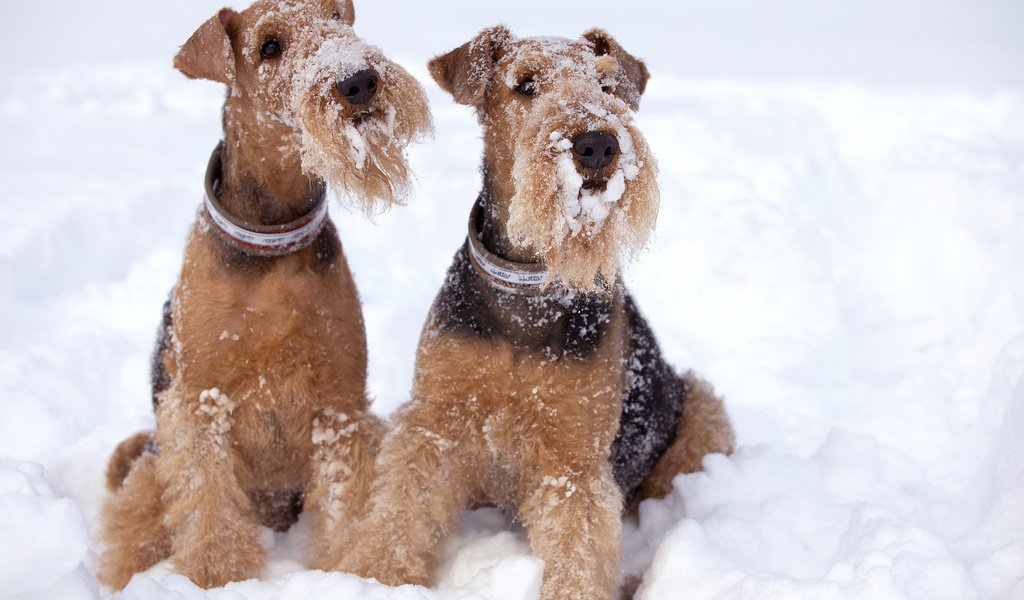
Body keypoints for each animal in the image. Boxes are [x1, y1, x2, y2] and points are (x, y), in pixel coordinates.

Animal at [96, 0, 432, 589]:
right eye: (269, 47)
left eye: (337, 19)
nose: (359, 81)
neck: (274, 236)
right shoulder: (202, 401)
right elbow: (208, 502)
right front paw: (214, 576)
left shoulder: (339, 401)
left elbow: (345, 501)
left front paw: (346, 569)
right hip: (155, 462)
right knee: (131, 527)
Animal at [339, 24, 733, 597]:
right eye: (525, 84)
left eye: (607, 86)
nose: (598, 144)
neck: (528, 289)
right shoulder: (434, 423)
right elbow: (401, 508)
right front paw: (373, 577)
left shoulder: (574, 458)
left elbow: (579, 549)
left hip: (702, 410)